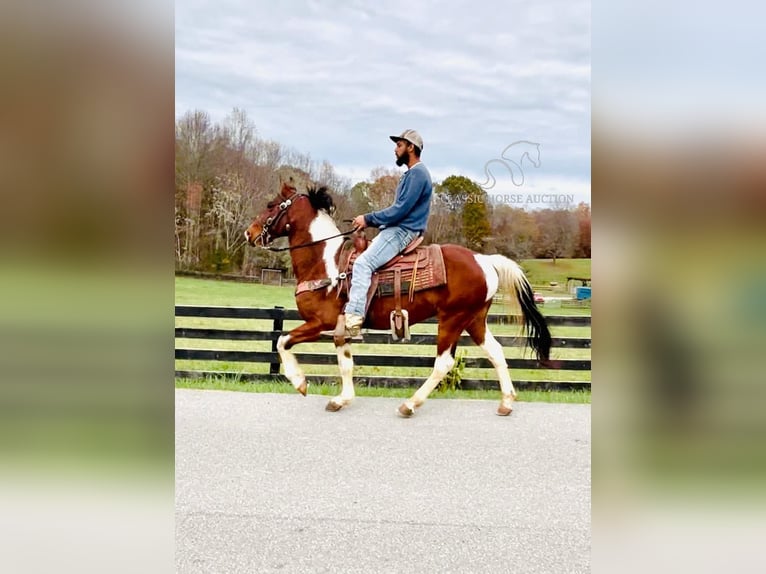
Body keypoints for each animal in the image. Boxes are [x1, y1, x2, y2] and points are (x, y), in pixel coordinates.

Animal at [246, 183, 552, 418]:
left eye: (271, 205)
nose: (250, 233)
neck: (325, 264)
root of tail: (485, 261)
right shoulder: (340, 330)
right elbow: (345, 363)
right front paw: (341, 399)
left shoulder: (321, 322)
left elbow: (282, 341)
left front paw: (300, 383)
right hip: (474, 320)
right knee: (496, 353)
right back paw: (506, 402)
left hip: (451, 320)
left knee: (443, 363)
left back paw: (410, 404)